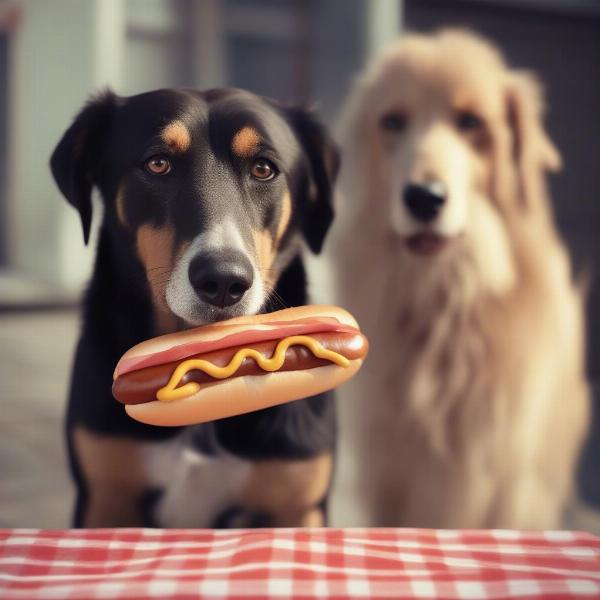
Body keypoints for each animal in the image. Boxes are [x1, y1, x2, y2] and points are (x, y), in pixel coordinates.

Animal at [326, 28, 588, 528]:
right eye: (393, 121)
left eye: (471, 121)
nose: (424, 198)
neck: (445, 298)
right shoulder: (391, 473)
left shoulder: (505, 483)